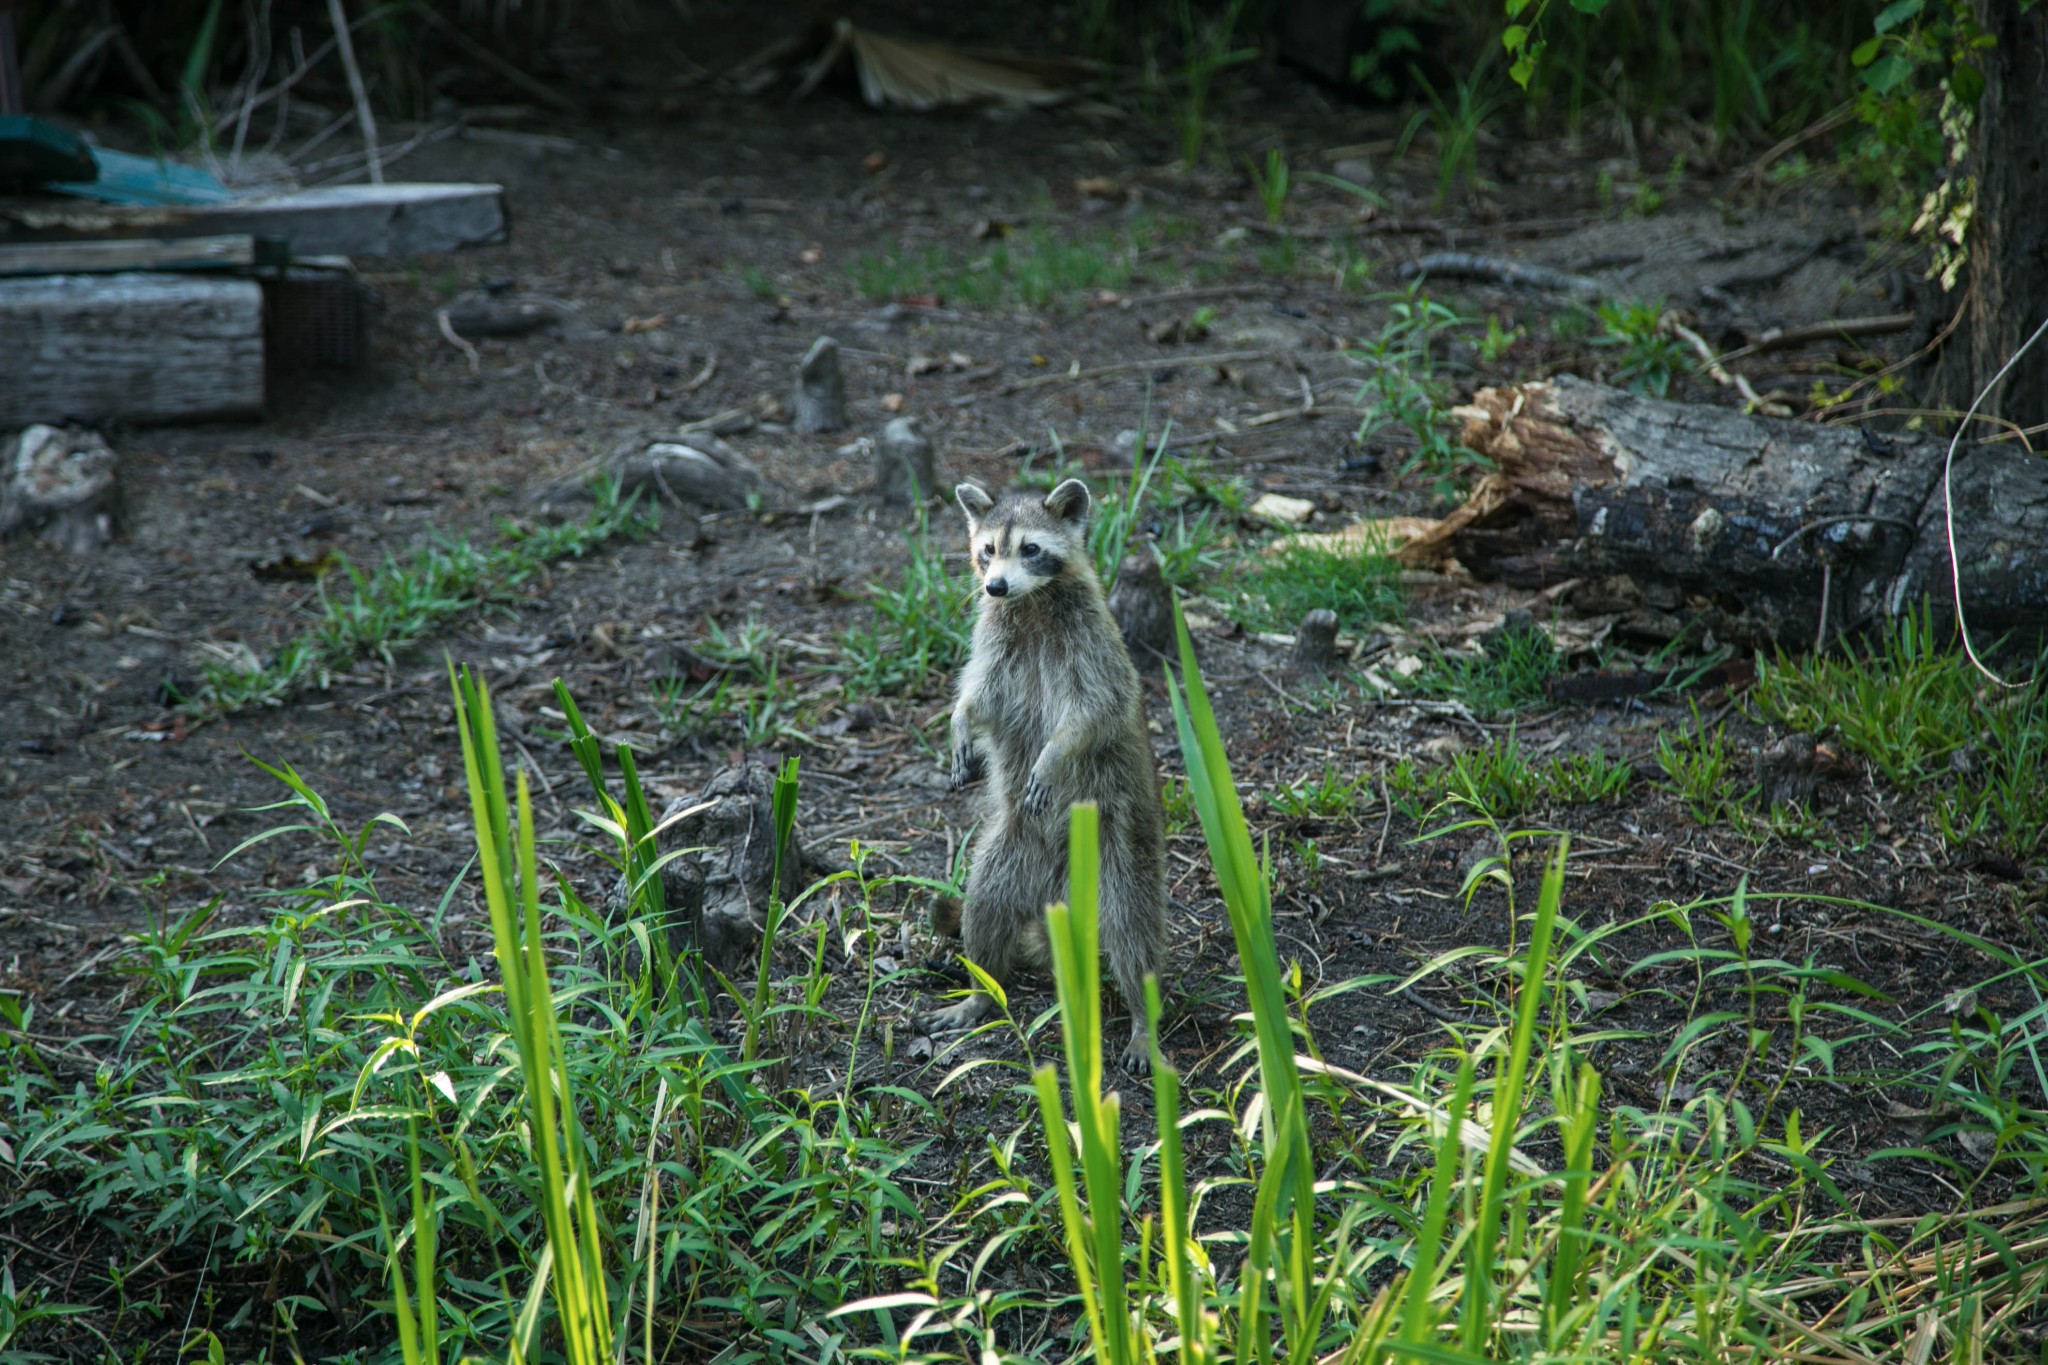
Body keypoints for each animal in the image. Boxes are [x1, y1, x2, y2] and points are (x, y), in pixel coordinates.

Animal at [925, 474, 1171, 1072]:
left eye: (1030, 549)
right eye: (988, 550)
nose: (994, 587)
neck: (1030, 600)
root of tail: (1060, 885)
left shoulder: (1092, 645)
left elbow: (1093, 712)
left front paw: (1054, 752)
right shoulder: (996, 640)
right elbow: (980, 696)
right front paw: (959, 720)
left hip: (1120, 843)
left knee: (1131, 929)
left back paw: (1142, 1019)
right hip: (1010, 848)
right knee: (984, 908)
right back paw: (980, 990)